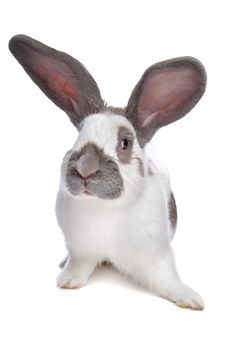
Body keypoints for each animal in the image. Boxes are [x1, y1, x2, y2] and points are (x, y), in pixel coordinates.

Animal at [9, 34, 207, 308]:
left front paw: (189, 298)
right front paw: (68, 280)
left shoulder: (157, 254)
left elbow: (167, 278)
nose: (85, 169)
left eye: (124, 143)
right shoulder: (80, 250)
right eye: (78, 137)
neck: (104, 209)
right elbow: (78, 266)